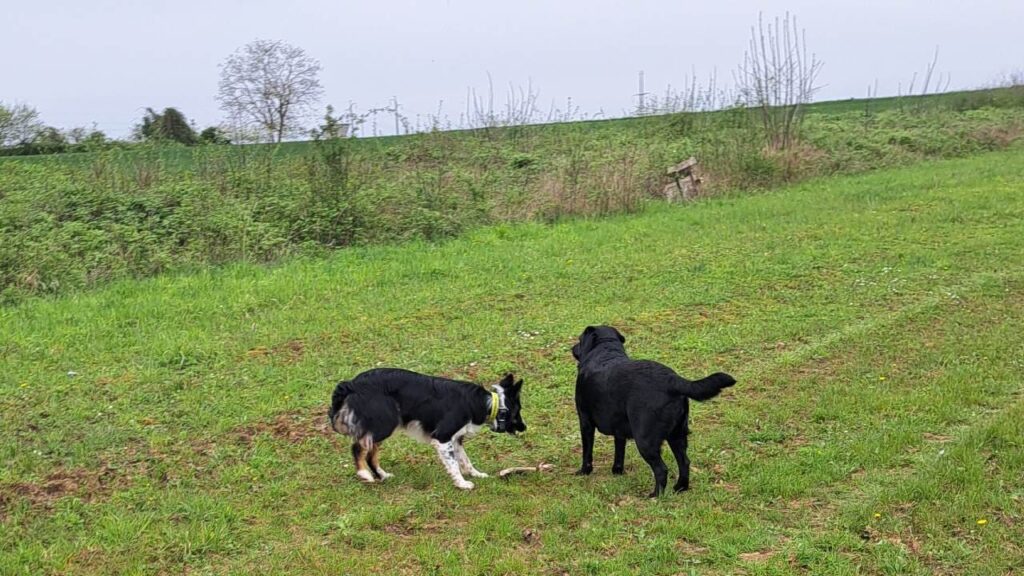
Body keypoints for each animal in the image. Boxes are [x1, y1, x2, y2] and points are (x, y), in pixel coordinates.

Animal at [327, 366, 524, 487]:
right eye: (518, 412)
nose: (524, 427)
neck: (488, 403)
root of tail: (351, 383)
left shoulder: (456, 439)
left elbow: (465, 460)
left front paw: (476, 474)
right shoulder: (443, 437)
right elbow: (453, 463)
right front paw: (462, 484)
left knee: (370, 454)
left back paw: (383, 475)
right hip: (384, 424)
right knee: (358, 447)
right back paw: (364, 474)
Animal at [573, 325, 733, 496]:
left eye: (579, 339)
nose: (573, 347)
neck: (605, 351)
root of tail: (672, 380)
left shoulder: (585, 422)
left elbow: (587, 451)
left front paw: (584, 471)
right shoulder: (619, 428)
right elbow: (619, 451)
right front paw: (617, 471)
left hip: (645, 441)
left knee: (661, 469)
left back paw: (655, 495)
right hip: (677, 435)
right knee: (684, 462)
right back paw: (680, 487)